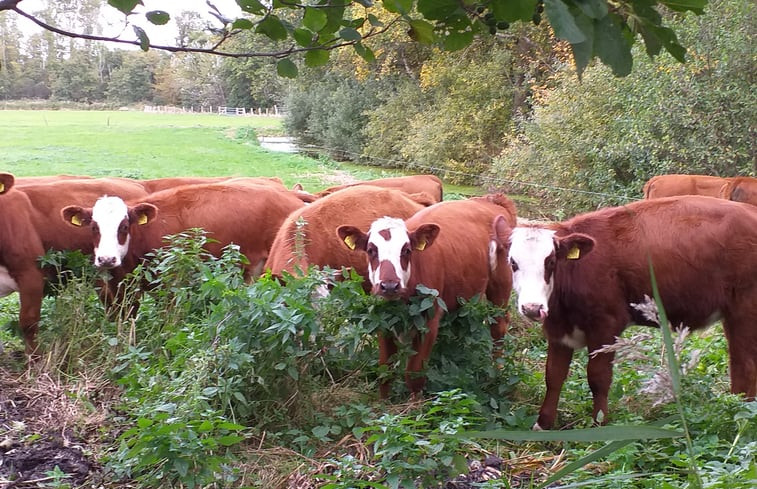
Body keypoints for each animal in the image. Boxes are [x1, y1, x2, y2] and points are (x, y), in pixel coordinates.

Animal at [338, 193, 520, 396]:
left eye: (406, 250)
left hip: (500, 286)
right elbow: (385, 372)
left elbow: (414, 375)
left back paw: (495, 374)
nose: (389, 285)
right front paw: (383, 400)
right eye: (371, 251)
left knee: (499, 326)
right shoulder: (382, 319)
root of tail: (491, 199)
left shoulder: (428, 323)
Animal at [504, 194, 757, 428]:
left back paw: (740, 414)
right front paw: (543, 424)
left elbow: (598, 377)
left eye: (551, 262)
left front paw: (599, 424)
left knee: (745, 365)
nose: (532, 307)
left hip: (744, 310)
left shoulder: (606, 326)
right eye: (513, 263)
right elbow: (553, 375)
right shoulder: (558, 329)